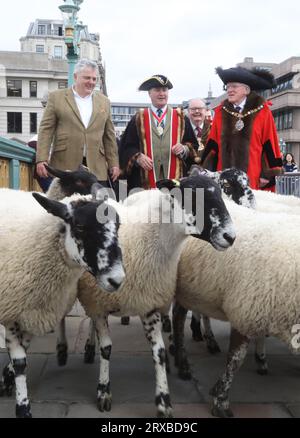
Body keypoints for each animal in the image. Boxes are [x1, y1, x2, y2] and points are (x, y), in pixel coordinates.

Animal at [0, 176, 125, 416]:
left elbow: (23, 350)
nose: (117, 279)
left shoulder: (36, 310)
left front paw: (8, 378)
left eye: (118, 225)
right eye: (80, 226)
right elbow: (20, 361)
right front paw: (23, 407)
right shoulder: (12, 310)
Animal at [171, 198, 300, 418]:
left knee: (178, 314)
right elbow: (235, 360)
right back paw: (184, 363)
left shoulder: (258, 311)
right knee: (178, 320)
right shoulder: (246, 309)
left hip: (190, 287)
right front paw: (220, 400)